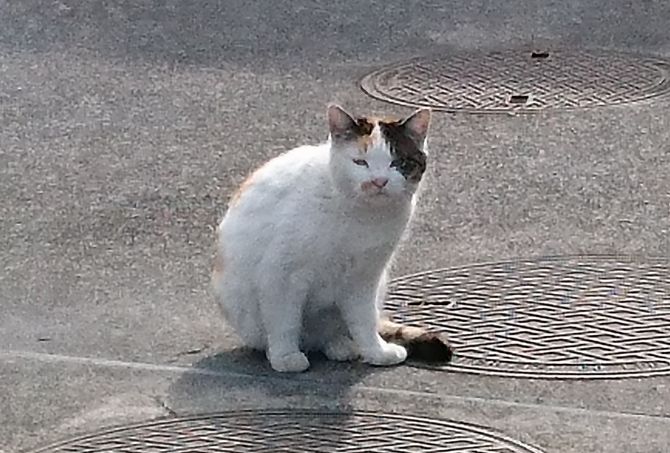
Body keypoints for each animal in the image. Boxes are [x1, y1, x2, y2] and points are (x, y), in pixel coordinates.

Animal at [213, 105, 454, 370]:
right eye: (360, 162)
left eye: (398, 163)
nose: (378, 182)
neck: (362, 216)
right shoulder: (282, 275)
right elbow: (284, 320)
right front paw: (286, 357)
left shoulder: (365, 277)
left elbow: (365, 320)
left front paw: (376, 352)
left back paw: (340, 345)